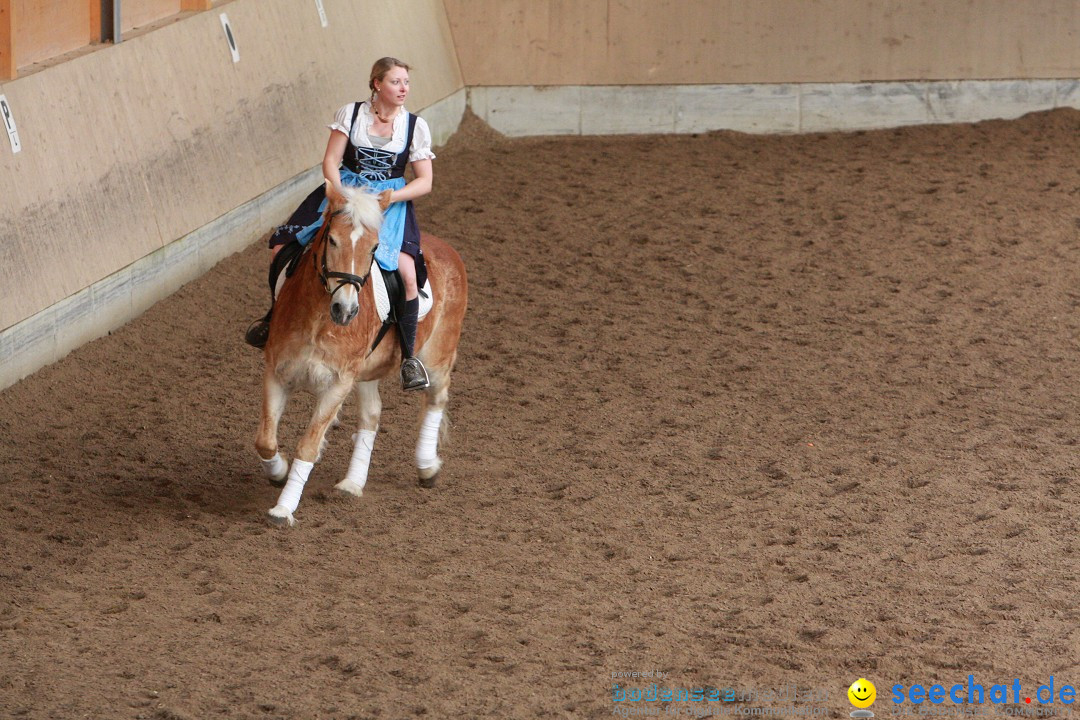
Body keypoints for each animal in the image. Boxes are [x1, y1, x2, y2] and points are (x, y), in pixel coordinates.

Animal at [257, 183, 468, 526]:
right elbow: (265, 439)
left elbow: (308, 445)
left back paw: (427, 467)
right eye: (331, 240)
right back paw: (352, 484)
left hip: (437, 355)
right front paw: (278, 472)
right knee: (372, 414)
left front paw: (283, 508)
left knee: (436, 397)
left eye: (374, 248)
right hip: (366, 372)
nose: (345, 311)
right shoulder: (277, 372)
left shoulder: (338, 382)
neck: (317, 320)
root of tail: (447, 249)